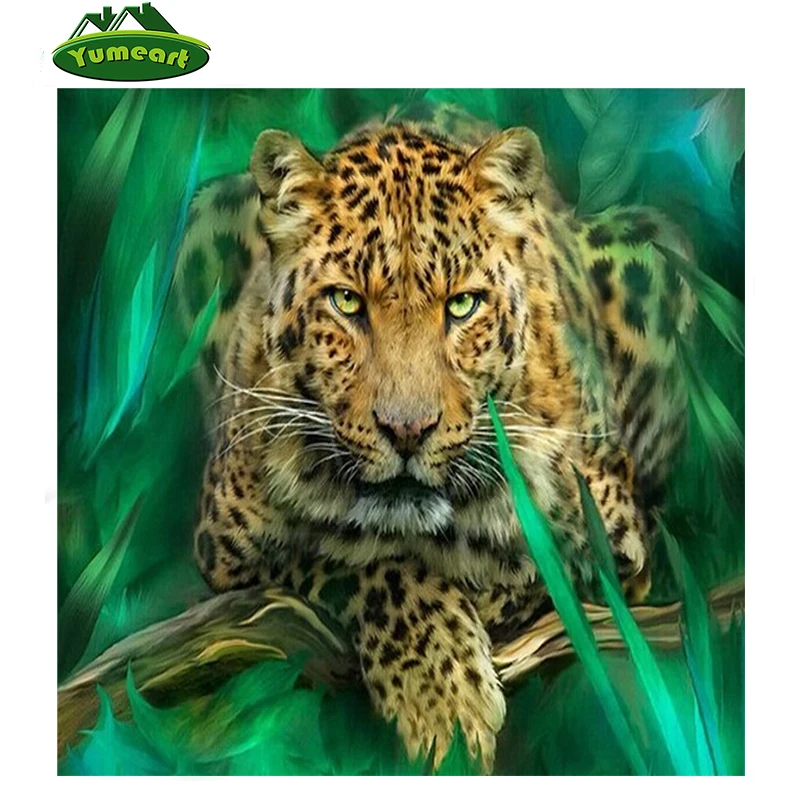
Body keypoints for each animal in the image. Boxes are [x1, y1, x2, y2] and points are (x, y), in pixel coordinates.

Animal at [175, 117, 696, 772]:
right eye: (346, 302)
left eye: (462, 305)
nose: (407, 430)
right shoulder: (225, 553)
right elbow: (360, 559)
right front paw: (440, 695)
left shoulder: (619, 539)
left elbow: (548, 568)